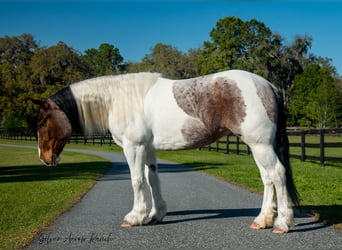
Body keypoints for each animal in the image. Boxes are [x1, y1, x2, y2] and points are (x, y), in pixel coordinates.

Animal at [32, 69, 300, 233]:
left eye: (43, 122)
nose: (44, 158)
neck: (119, 100)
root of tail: (269, 85)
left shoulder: (133, 148)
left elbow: (137, 180)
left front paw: (135, 216)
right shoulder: (148, 149)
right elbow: (152, 179)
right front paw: (155, 215)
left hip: (260, 145)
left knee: (277, 174)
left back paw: (282, 223)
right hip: (256, 146)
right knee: (267, 179)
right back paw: (263, 220)